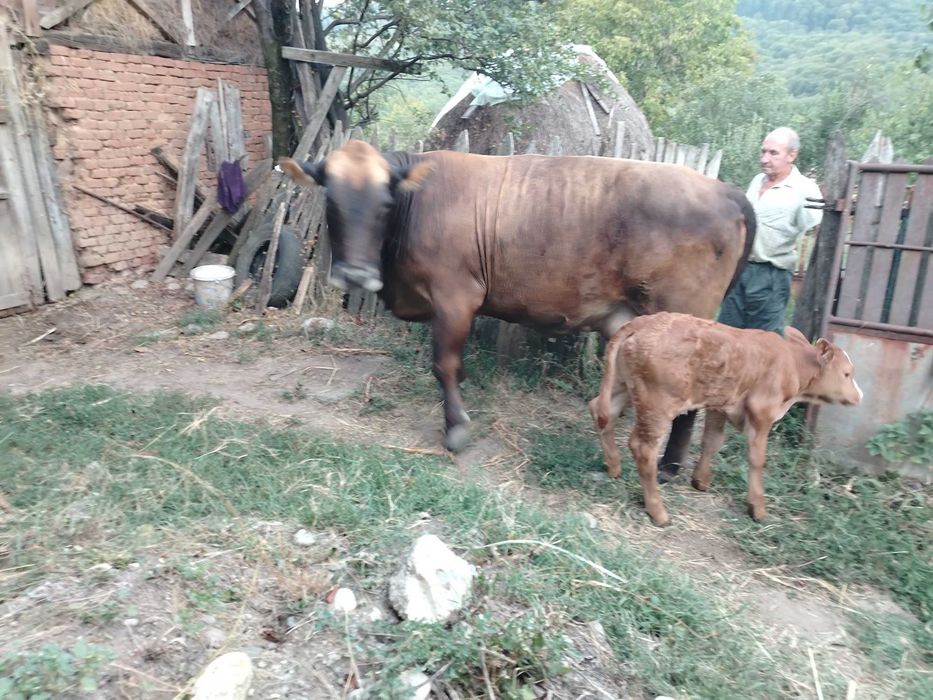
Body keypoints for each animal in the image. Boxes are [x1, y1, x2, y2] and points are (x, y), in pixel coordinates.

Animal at [279, 140, 756, 455]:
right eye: (331, 199)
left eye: (385, 202)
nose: (355, 275)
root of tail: (725, 190)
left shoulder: (456, 296)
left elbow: (444, 364)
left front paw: (456, 427)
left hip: (683, 320)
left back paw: (671, 466)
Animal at [589, 312, 863, 526]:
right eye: (847, 373)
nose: (860, 395)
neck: (792, 364)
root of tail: (642, 323)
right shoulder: (761, 411)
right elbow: (756, 459)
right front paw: (757, 508)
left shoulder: (719, 406)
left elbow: (712, 441)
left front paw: (700, 480)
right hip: (657, 404)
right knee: (643, 447)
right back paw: (658, 512)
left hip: (621, 385)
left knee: (601, 412)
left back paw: (614, 466)